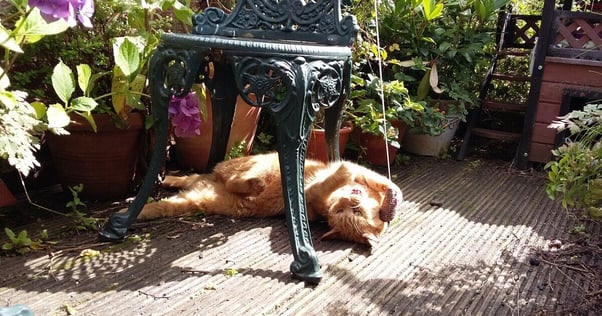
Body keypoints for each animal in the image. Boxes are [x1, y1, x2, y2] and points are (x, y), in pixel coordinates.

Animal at [138, 152, 400, 247]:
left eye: (353, 214)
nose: (350, 200)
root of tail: (212, 180)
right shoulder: (356, 175)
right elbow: (374, 178)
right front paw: (391, 198)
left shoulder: (310, 195)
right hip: (259, 165)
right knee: (235, 178)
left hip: (198, 199)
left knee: (167, 202)